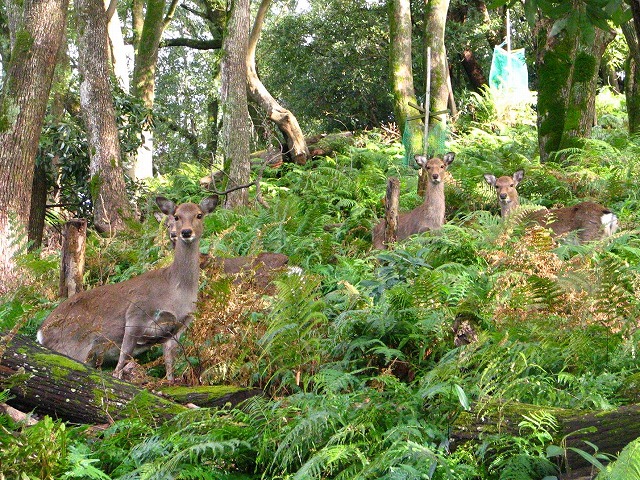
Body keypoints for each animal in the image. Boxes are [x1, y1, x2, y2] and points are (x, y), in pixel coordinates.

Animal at [37, 194, 220, 378]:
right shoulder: (136, 314)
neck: (176, 292)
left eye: (199, 215)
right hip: (72, 345)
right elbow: (121, 362)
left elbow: (170, 366)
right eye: (176, 216)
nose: (185, 232)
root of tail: (40, 333)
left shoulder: (179, 326)